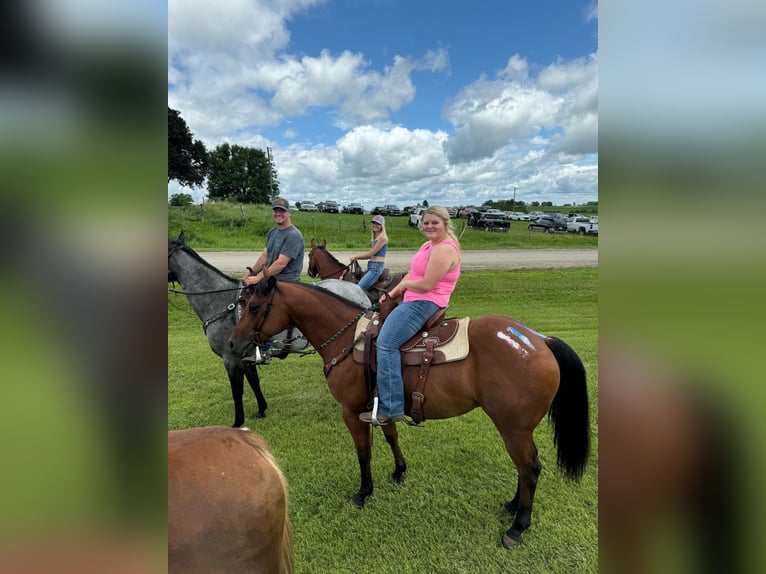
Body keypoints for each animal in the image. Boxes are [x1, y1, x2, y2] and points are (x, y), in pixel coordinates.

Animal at [169, 231, 372, 428]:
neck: (223, 302)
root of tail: (359, 291)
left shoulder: (231, 358)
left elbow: (237, 390)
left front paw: (237, 423)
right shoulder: (245, 356)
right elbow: (254, 381)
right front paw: (261, 410)